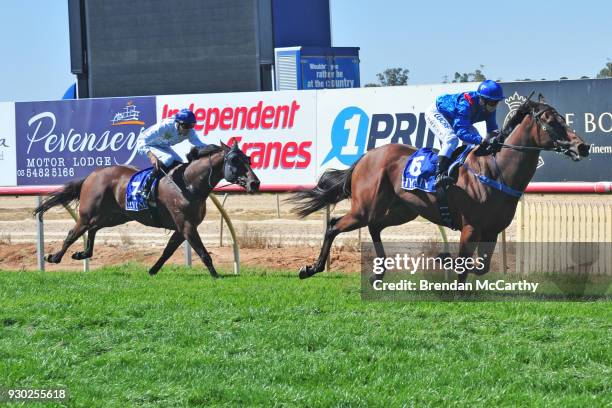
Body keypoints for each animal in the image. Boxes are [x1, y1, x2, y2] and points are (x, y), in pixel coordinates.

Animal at [34, 143, 258, 278]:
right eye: (234, 161)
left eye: (248, 160)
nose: (255, 183)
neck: (189, 184)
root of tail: (92, 175)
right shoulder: (186, 226)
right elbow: (203, 253)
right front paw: (216, 276)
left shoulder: (182, 228)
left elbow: (167, 251)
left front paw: (152, 270)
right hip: (89, 213)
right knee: (73, 232)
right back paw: (54, 257)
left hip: (116, 216)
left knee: (93, 229)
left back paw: (82, 253)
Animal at [292, 96, 592, 282]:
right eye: (551, 121)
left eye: (564, 119)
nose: (583, 146)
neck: (496, 171)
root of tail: (367, 156)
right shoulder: (471, 227)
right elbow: (464, 266)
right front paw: (448, 267)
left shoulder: (492, 231)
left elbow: (482, 267)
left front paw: (444, 259)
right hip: (365, 208)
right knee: (334, 224)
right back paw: (311, 268)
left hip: (403, 210)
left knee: (374, 226)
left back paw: (378, 272)